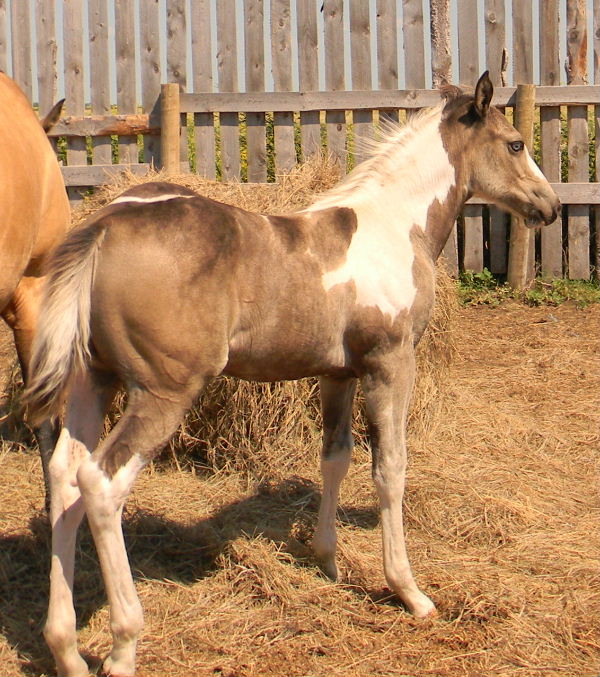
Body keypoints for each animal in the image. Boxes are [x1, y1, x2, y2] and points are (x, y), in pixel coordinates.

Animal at [24, 72, 559, 677]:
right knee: (100, 483)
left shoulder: (337, 374)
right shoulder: (390, 363)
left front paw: (327, 560)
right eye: (515, 143)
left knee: (63, 475)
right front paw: (409, 590)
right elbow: (390, 469)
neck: (394, 226)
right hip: (163, 392)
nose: (550, 205)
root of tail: (106, 226)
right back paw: (123, 644)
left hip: (93, 382)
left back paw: (65, 646)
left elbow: (335, 458)